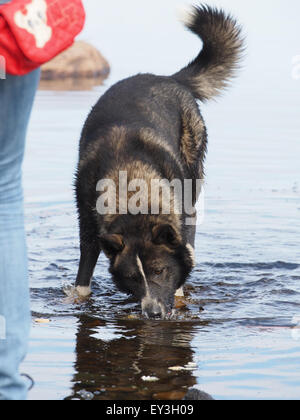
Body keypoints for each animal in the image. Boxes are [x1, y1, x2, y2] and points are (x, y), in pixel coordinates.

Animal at [74, 4, 244, 318]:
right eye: (131, 278)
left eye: (159, 270)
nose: (152, 313)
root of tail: (168, 78)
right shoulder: (88, 220)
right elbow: (84, 268)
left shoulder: (180, 218)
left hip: (193, 173)